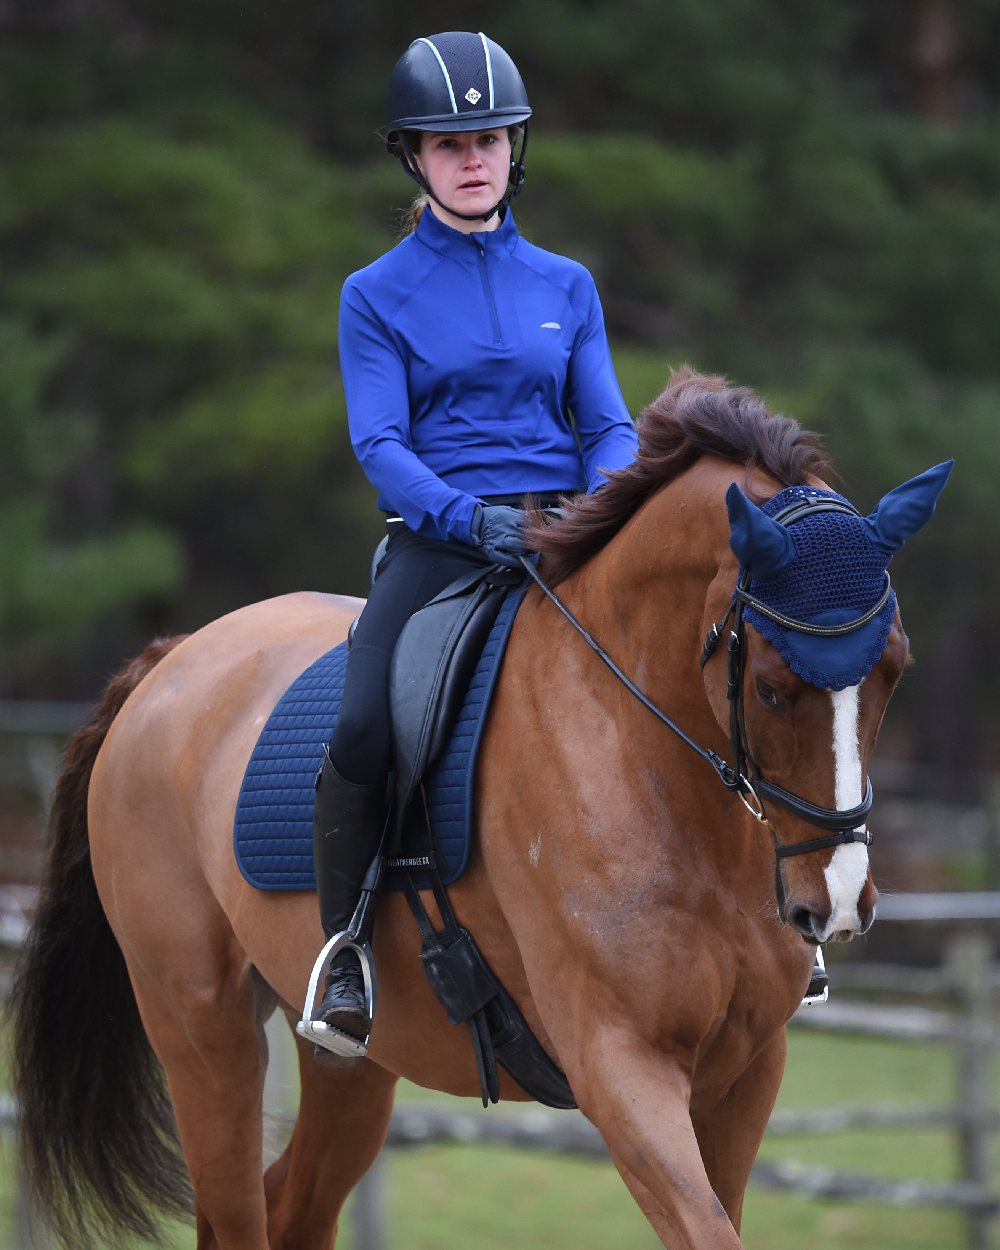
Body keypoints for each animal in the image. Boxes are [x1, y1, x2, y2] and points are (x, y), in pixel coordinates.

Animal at [9, 370, 945, 1250]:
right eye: (775, 688)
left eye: (895, 670)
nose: (837, 902)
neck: (651, 771)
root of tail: (171, 662)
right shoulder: (621, 1064)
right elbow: (705, 1226)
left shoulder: (747, 1071)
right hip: (203, 1032)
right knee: (237, 1208)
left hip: (354, 1065)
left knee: (293, 1205)